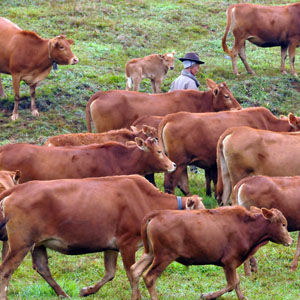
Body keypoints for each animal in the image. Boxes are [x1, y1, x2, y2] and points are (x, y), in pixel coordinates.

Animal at [0, 176, 204, 298]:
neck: (145, 199)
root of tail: (17, 189)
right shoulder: (127, 242)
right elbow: (131, 273)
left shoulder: (111, 245)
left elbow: (110, 273)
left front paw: (86, 291)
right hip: (20, 244)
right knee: (5, 271)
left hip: (36, 243)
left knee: (42, 268)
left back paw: (64, 294)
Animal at [130, 206, 292, 300]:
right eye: (283, 224)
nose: (290, 240)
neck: (247, 227)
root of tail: (156, 214)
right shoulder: (229, 262)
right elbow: (232, 284)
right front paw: (207, 295)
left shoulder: (231, 264)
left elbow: (236, 283)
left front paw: (242, 297)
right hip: (164, 256)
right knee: (149, 277)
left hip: (150, 253)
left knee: (135, 270)